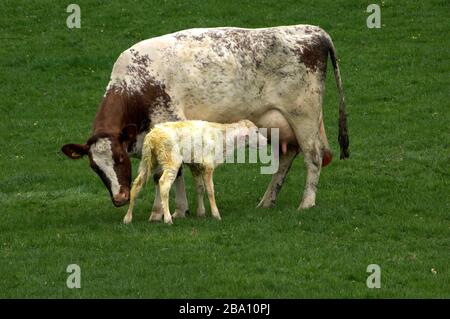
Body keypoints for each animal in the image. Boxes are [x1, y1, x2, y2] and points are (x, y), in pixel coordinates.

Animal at [60, 23, 348, 216]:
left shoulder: (168, 123)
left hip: (304, 116)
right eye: (95, 167)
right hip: (276, 123)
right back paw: (266, 201)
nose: (120, 198)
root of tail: (313, 30)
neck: (137, 85)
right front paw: (178, 210)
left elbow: (167, 174)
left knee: (313, 157)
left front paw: (166, 211)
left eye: (119, 159)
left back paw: (306, 202)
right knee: (287, 157)